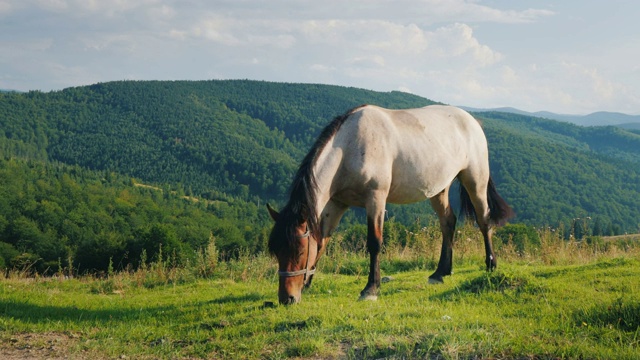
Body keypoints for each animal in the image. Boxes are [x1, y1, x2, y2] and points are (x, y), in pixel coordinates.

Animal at [268, 103, 512, 304]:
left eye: (299, 251)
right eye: (277, 251)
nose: (287, 298)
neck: (349, 146)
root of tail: (472, 121)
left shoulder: (375, 199)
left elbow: (374, 243)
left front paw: (370, 289)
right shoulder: (336, 203)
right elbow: (322, 241)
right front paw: (308, 283)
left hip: (475, 180)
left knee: (483, 220)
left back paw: (491, 264)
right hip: (438, 189)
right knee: (448, 222)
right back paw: (441, 272)